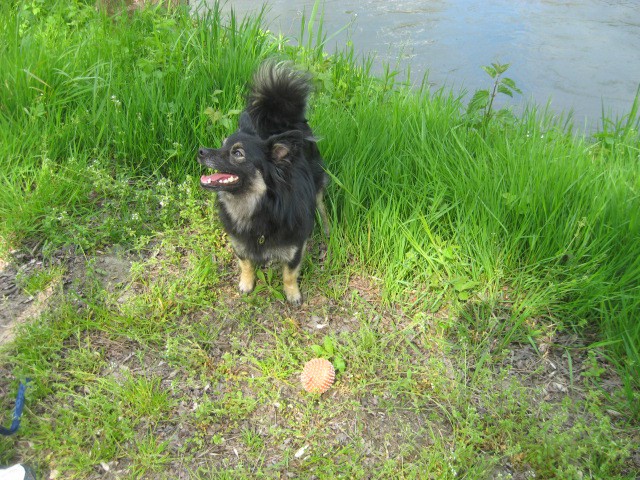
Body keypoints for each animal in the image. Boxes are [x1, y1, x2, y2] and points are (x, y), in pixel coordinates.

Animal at [198, 60, 330, 304]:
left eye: (237, 153)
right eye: (222, 144)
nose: (201, 151)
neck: (258, 205)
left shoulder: (295, 245)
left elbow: (289, 274)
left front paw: (292, 294)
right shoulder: (240, 243)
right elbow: (246, 264)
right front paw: (246, 284)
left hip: (317, 180)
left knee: (321, 203)